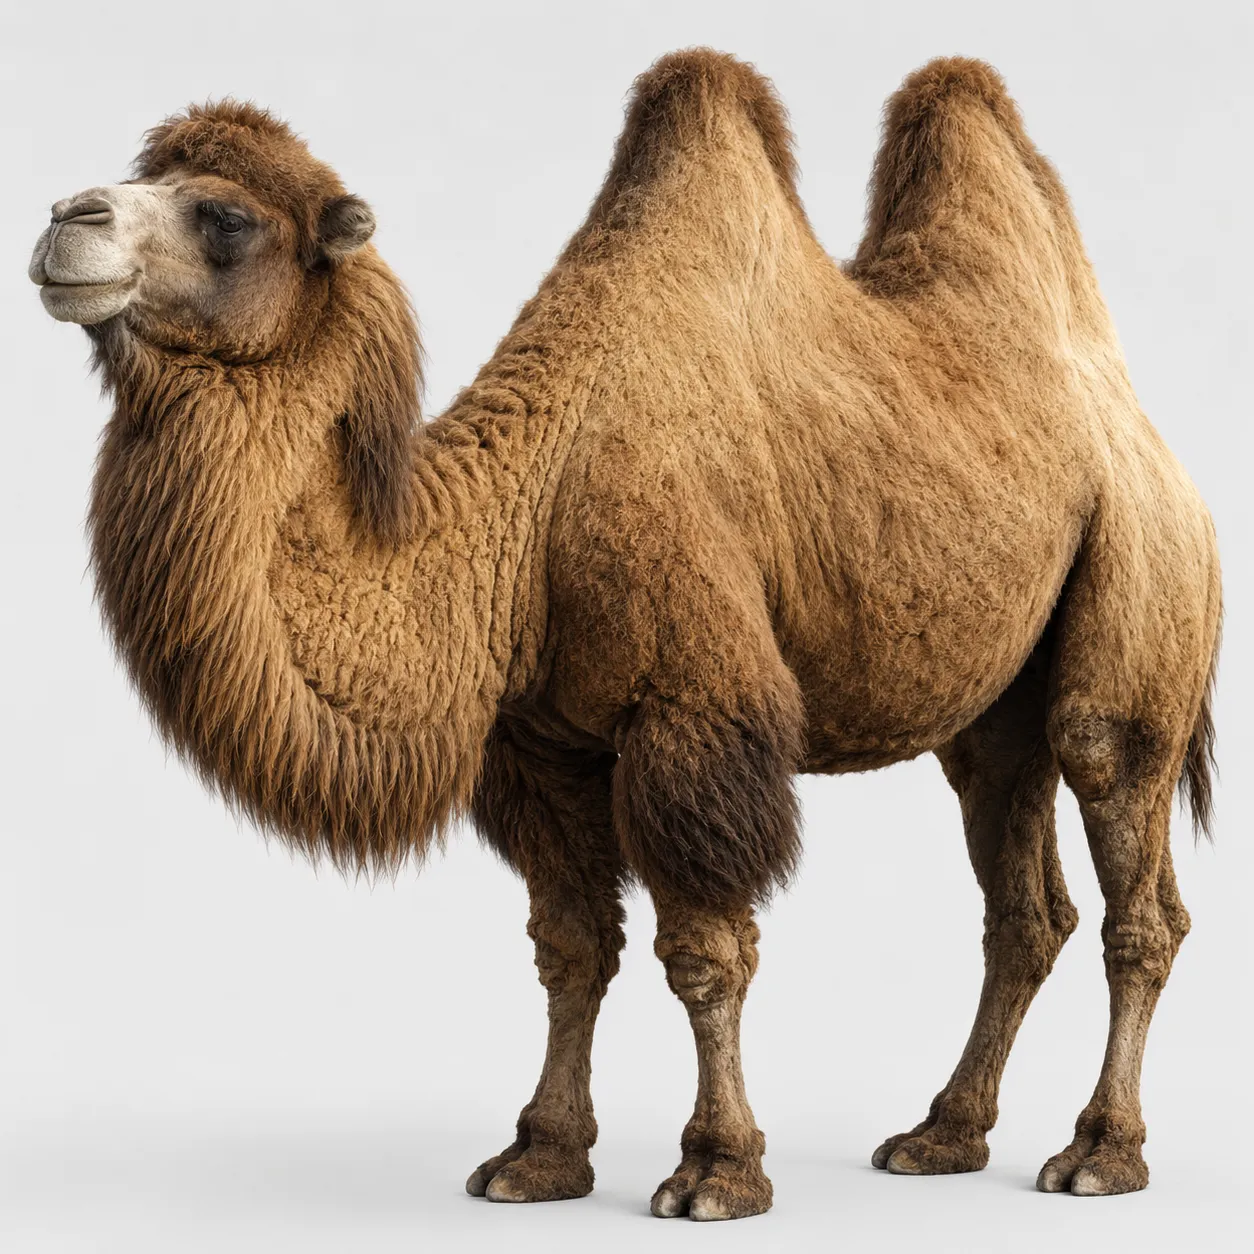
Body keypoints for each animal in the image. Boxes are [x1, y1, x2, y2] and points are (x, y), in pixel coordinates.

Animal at [29, 50, 1220, 1221]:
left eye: (225, 215)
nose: (63, 218)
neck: (522, 520)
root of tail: (1160, 451)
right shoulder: (540, 748)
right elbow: (570, 949)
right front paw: (539, 1155)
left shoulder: (689, 715)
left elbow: (703, 951)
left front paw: (716, 1169)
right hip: (994, 709)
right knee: (1021, 893)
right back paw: (942, 1135)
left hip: (1140, 588)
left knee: (1128, 850)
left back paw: (1100, 1152)